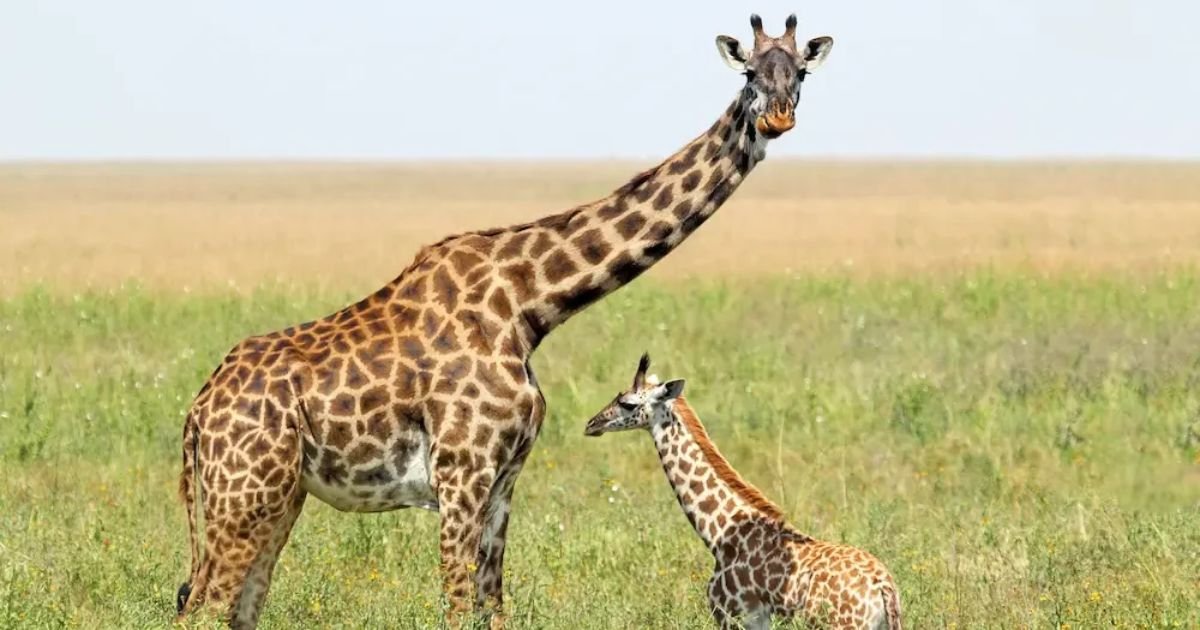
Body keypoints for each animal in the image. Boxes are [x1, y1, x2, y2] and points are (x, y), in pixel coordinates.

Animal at [174, 14, 834, 628]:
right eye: (749, 73)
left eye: (800, 73)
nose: (777, 120)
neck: (527, 306)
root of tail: (198, 411)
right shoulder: (462, 472)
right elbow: (457, 604)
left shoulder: (503, 480)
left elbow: (492, 604)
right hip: (244, 494)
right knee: (202, 606)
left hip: (276, 497)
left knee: (234, 605)